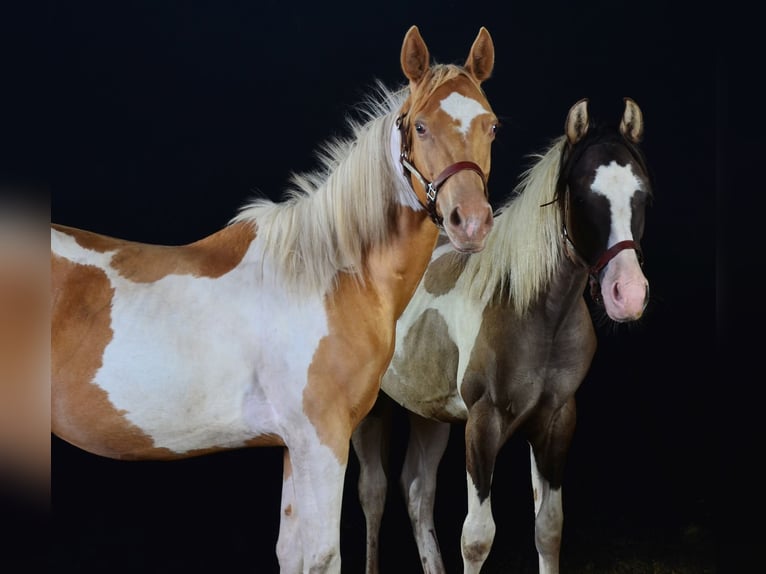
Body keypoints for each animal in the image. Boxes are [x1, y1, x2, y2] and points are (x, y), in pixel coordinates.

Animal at [51, 25, 499, 573]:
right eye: (420, 127)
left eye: (491, 126)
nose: (470, 223)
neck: (329, 274)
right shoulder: (322, 439)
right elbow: (324, 556)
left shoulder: (294, 445)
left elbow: (292, 553)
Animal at [351, 97, 652, 574]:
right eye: (582, 195)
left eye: (643, 195)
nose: (629, 294)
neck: (536, 314)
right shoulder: (483, 422)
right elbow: (477, 537)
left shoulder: (555, 420)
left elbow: (548, 529)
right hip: (374, 410)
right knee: (373, 493)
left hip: (429, 413)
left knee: (417, 492)